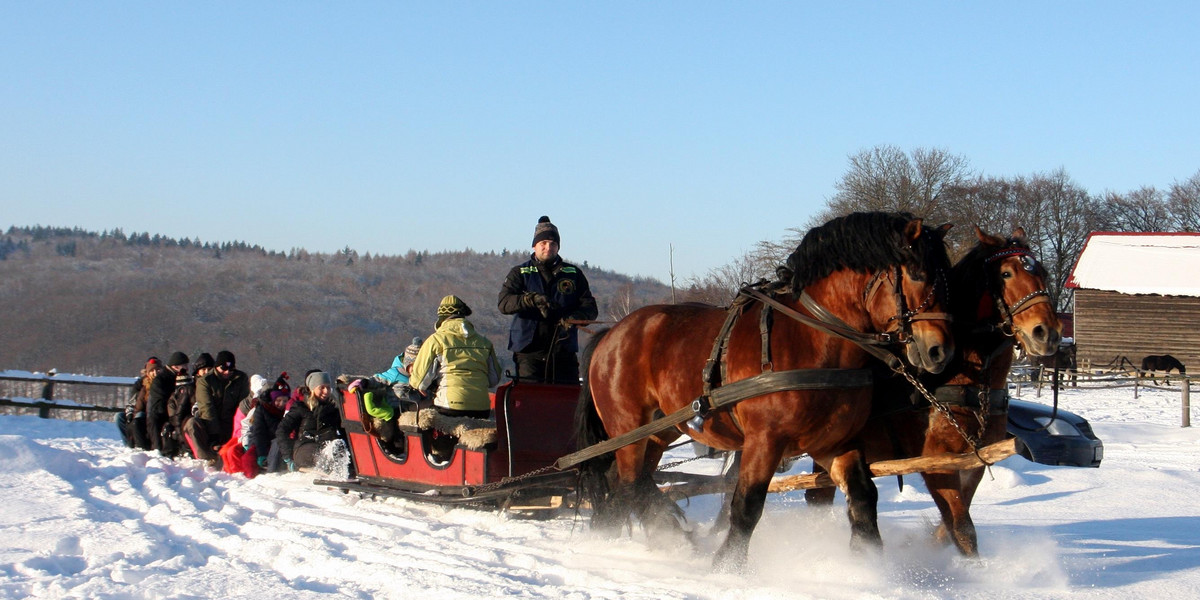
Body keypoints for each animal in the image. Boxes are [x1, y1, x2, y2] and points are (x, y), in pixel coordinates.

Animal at [571, 213, 955, 568]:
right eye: (918, 273)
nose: (939, 351)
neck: (813, 338)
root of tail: (611, 334)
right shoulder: (764, 440)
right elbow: (746, 505)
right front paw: (728, 567)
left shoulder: (833, 442)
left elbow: (863, 496)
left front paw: (868, 563)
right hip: (628, 430)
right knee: (631, 482)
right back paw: (671, 536)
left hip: (657, 431)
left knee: (626, 483)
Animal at [806, 226, 1060, 554]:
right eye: (1006, 273)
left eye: (1042, 271)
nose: (1047, 333)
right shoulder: (936, 463)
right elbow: (963, 529)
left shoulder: (973, 463)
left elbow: (949, 527)